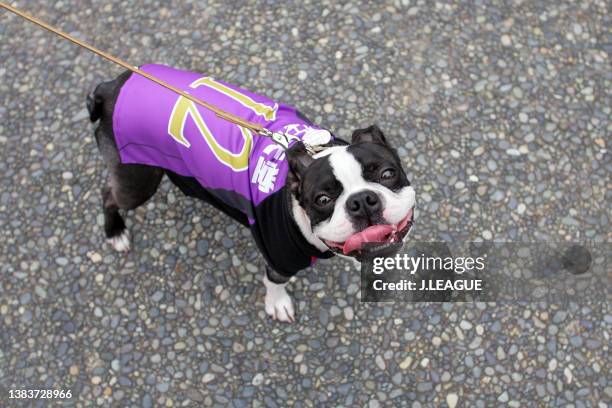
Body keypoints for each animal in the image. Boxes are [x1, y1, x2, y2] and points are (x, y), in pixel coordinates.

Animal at [86, 63, 416, 322]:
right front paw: (278, 304)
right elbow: (274, 282)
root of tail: (111, 88)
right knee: (108, 194)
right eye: (323, 200)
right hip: (137, 181)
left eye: (388, 174)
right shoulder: (279, 258)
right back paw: (115, 231)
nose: (362, 201)